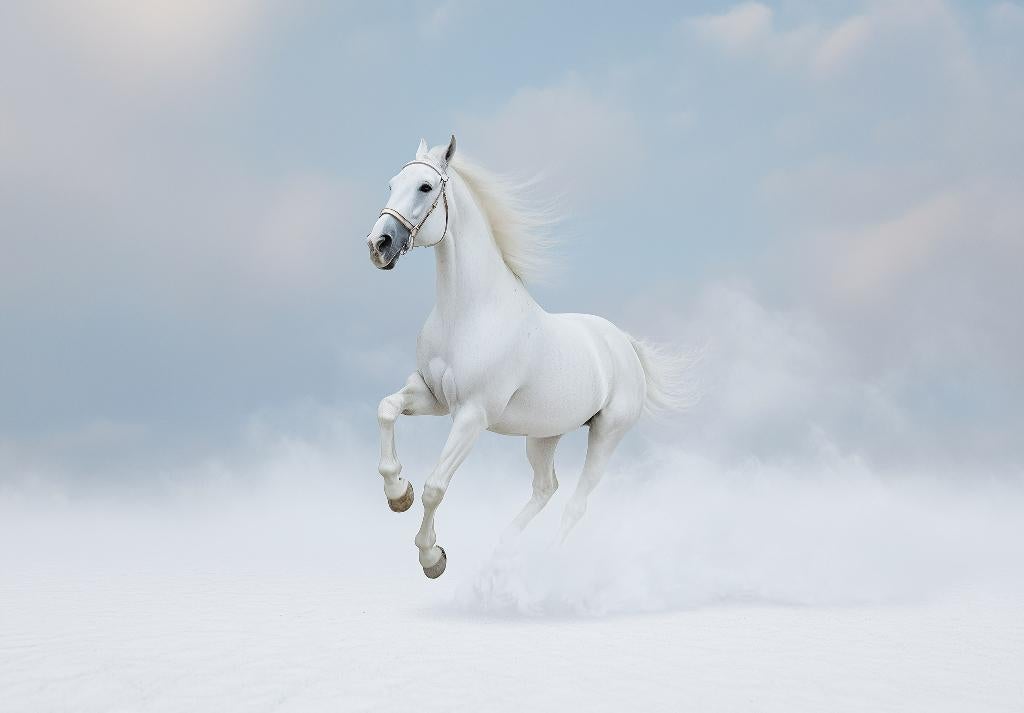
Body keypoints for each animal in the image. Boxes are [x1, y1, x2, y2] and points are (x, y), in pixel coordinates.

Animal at [366, 135, 688, 579]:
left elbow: (435, 487)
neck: (468, 312)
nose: (378, 246)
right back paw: (502, 552)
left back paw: (546, 565)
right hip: (543, 434)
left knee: (576, 503)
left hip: (606, 436)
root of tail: (623, 345)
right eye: (391, 184)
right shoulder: (431, 396)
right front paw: (398, 493)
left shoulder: (472, 414)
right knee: (545, 487)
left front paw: (432, 557)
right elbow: (386, 409)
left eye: (425, 187)